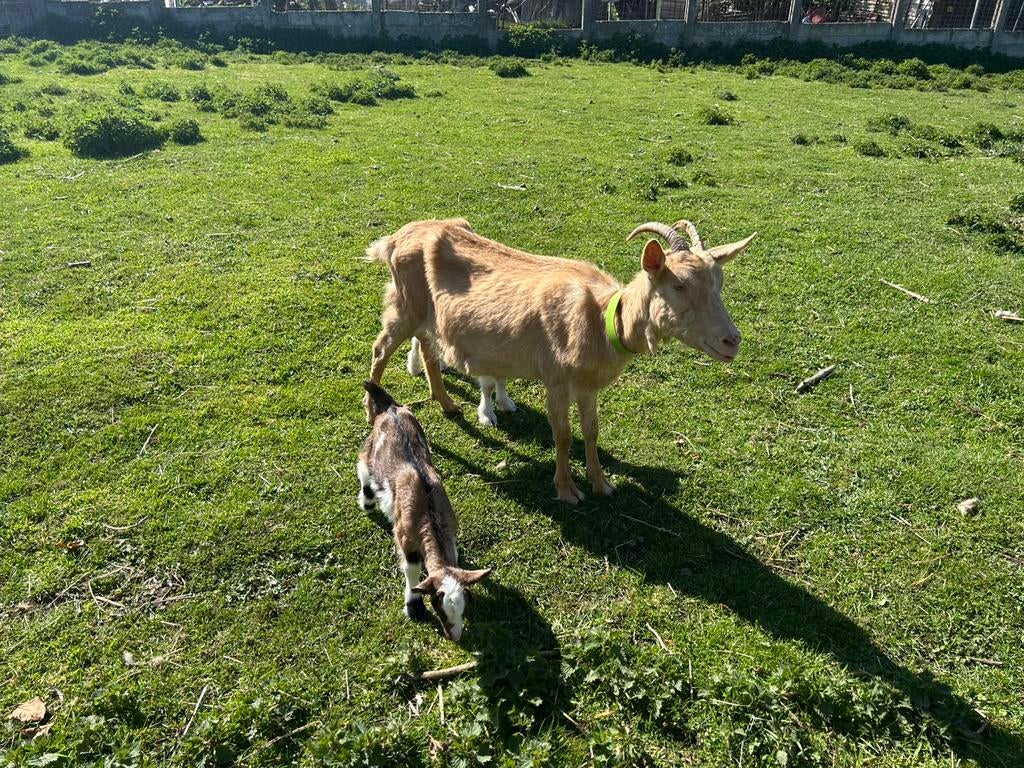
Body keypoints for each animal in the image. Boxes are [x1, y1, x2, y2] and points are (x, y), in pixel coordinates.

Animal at [358, 379, 491, 640]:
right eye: (439, 609)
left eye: (465, 606)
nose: (454, 636)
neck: (430, 514)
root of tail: (391, 407)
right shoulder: (404, 536)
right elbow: (412, 568)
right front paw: (414, 607)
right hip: (370, 451)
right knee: (363, 470)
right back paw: (367, 503)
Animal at [363, 218, 755, 504]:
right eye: (679, 285)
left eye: (718, 282)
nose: (731, 341)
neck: (603, 320)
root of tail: (394, 240)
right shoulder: (556, 380)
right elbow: (563, 434)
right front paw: (567, 490)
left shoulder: (588, 385)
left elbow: (591, 431)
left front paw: (602, 484)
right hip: (405, 305)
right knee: (381, 348)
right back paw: (372, 411)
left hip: (426, 315)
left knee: (429, 352)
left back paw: (447, 404)